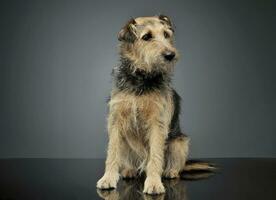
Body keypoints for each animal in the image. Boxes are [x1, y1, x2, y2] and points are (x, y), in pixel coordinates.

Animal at [97, 14, 216, 195]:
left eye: (166, 34)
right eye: (146, 37)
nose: (170, 55)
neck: (141, 77)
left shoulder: (157, 123)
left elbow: (155, 156)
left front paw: (153, 183)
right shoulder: (116, 121)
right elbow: (112, 153)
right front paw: (108, 178)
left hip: (179, 142)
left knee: (176, 164)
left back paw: (170, 172)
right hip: (126, 143)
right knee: (131, 161)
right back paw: (129, 170)